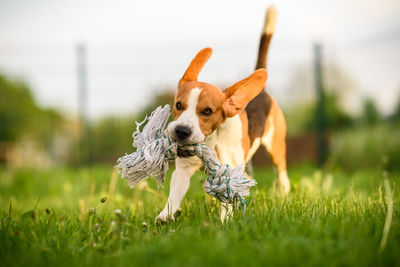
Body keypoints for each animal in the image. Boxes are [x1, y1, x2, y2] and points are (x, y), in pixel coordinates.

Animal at [155, 6, 290, 224]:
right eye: (178, 105)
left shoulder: (227, 170)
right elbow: (174, 194)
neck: (211, 141)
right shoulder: (183, 170)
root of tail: (262, 92)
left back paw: (283, 194)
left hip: (276, 147)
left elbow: (227, 197)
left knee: (281, 176)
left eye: (207, 111)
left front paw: (225, 222)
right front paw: (165, 216)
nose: (181, 131)